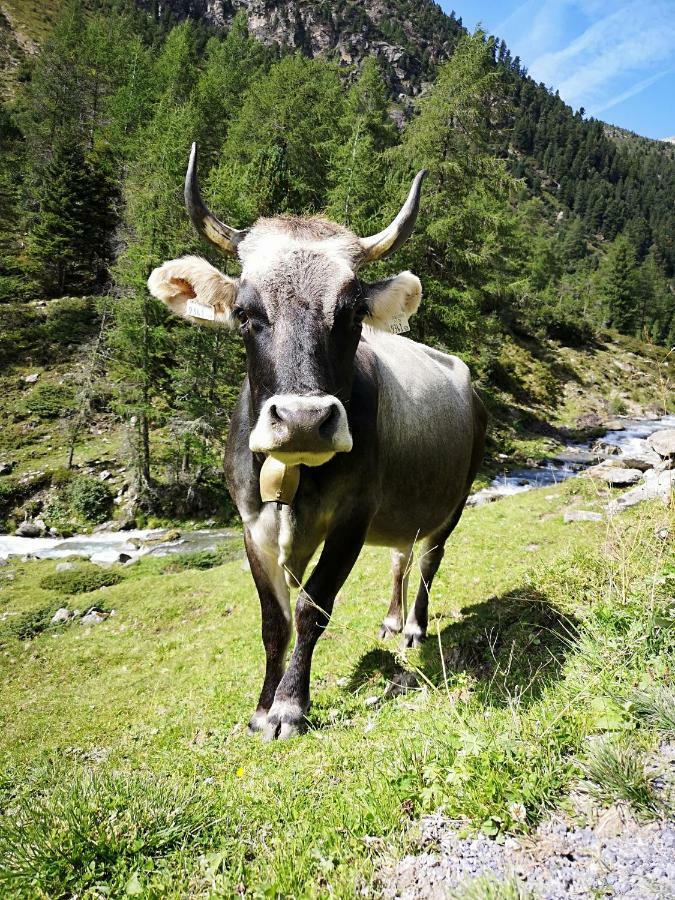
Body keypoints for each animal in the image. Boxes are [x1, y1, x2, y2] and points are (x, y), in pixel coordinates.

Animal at [148, 146, 486, 740]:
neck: (296, 475)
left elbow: (313, 607)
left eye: (353, 313)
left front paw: (289, 706)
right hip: (401, 508)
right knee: (400, 557)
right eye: (244, 313)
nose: (304, 419)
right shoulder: (252, 524)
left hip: (452, 502)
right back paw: (391, 618)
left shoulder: (354, 515)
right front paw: (263, 706)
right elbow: (274, 620)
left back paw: (414, 627)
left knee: (427, 561)